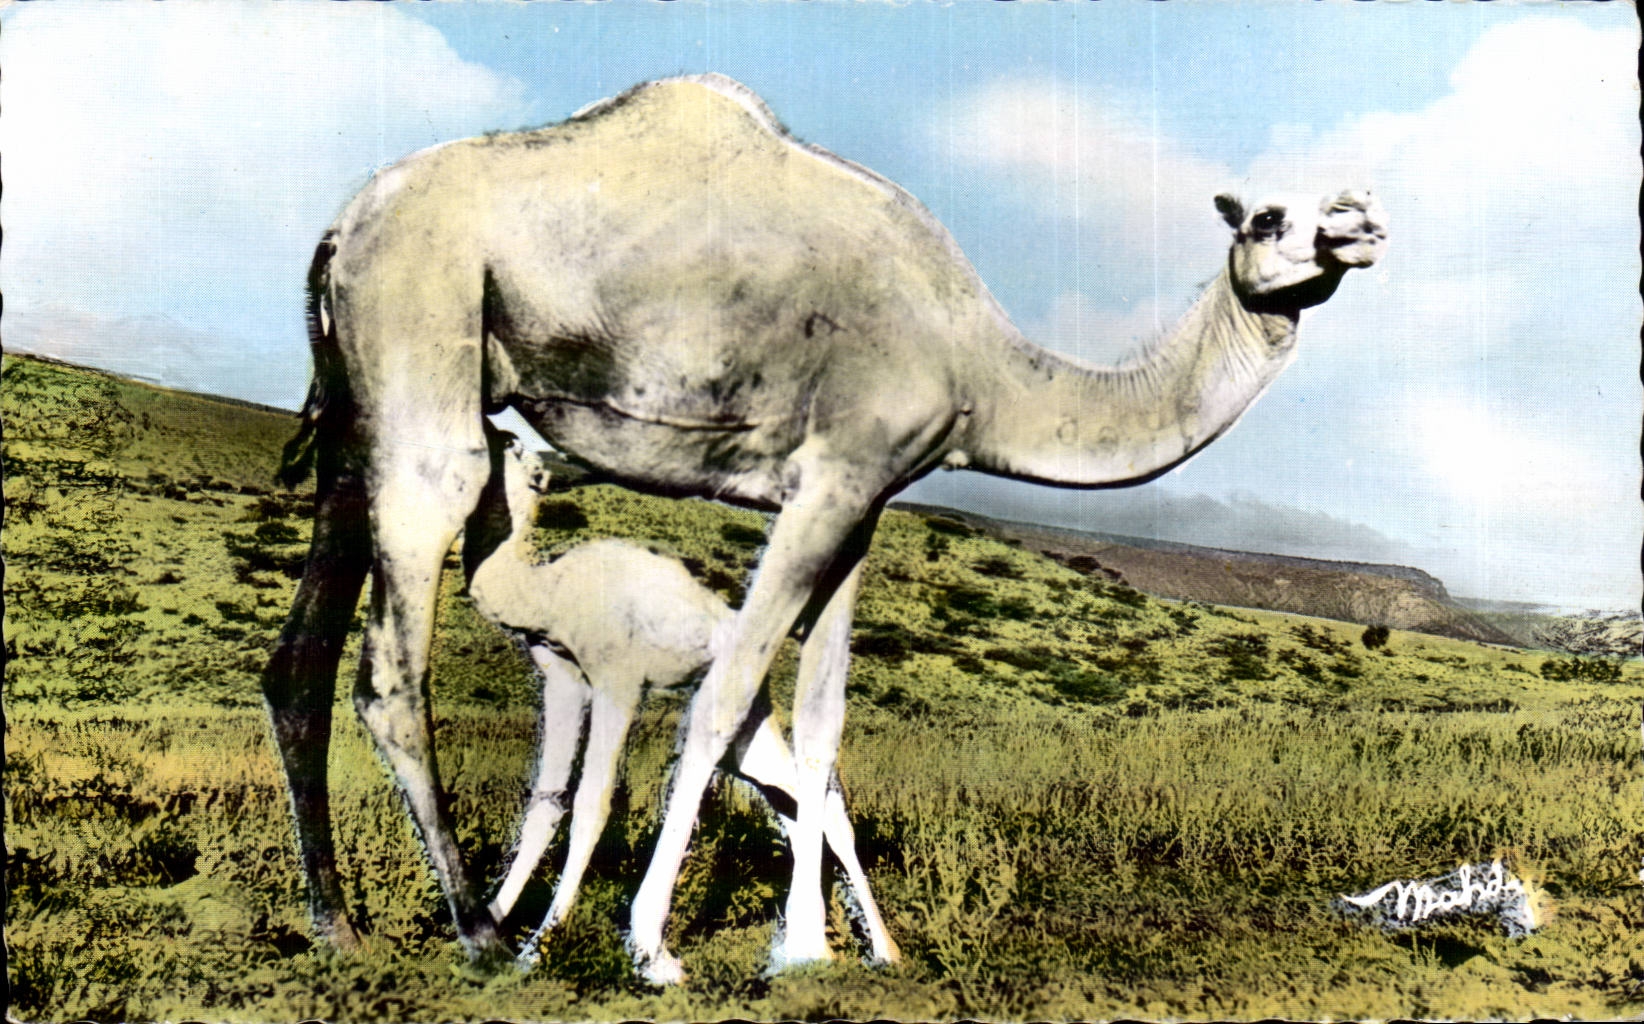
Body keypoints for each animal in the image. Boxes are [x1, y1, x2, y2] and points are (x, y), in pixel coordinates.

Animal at [466, 433, 899, 967]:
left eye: (514, 451)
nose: (495, 437)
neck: (547, 592)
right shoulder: (562, 675)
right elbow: (545, 803)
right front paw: (489, 925)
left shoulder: (619, 678)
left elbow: (592, 804)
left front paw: (539, 946)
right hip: (740, 733)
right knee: (790, 804)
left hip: (745, 707)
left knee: (822, 805)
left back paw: (883, 951)